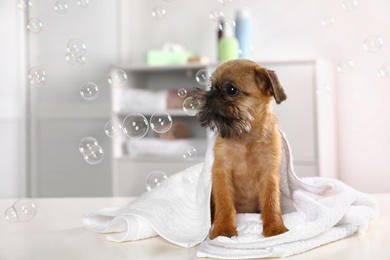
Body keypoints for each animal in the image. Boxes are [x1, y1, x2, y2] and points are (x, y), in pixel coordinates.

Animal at [195, 59, 290, 240]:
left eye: (231, 90)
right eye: (211, 86)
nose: (209, 95)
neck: (246, 137)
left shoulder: (269, 173)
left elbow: (271, 201)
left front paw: (275, 227)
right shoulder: (221, 172)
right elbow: (224, 202)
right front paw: (223, 228)